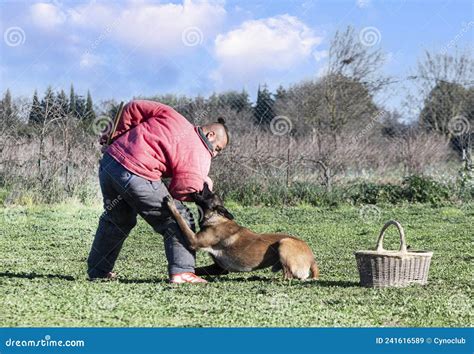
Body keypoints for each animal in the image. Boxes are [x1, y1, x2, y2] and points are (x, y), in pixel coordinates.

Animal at [164, 184, 318, 280]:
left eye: (210, 194)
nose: (206, 184)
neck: (217, 218)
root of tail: (312, 260)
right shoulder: (219, 268)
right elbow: (198, 269)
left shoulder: (194, 241)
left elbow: (181, 220)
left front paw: (171, 205)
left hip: (284, 243)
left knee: (288, 276)